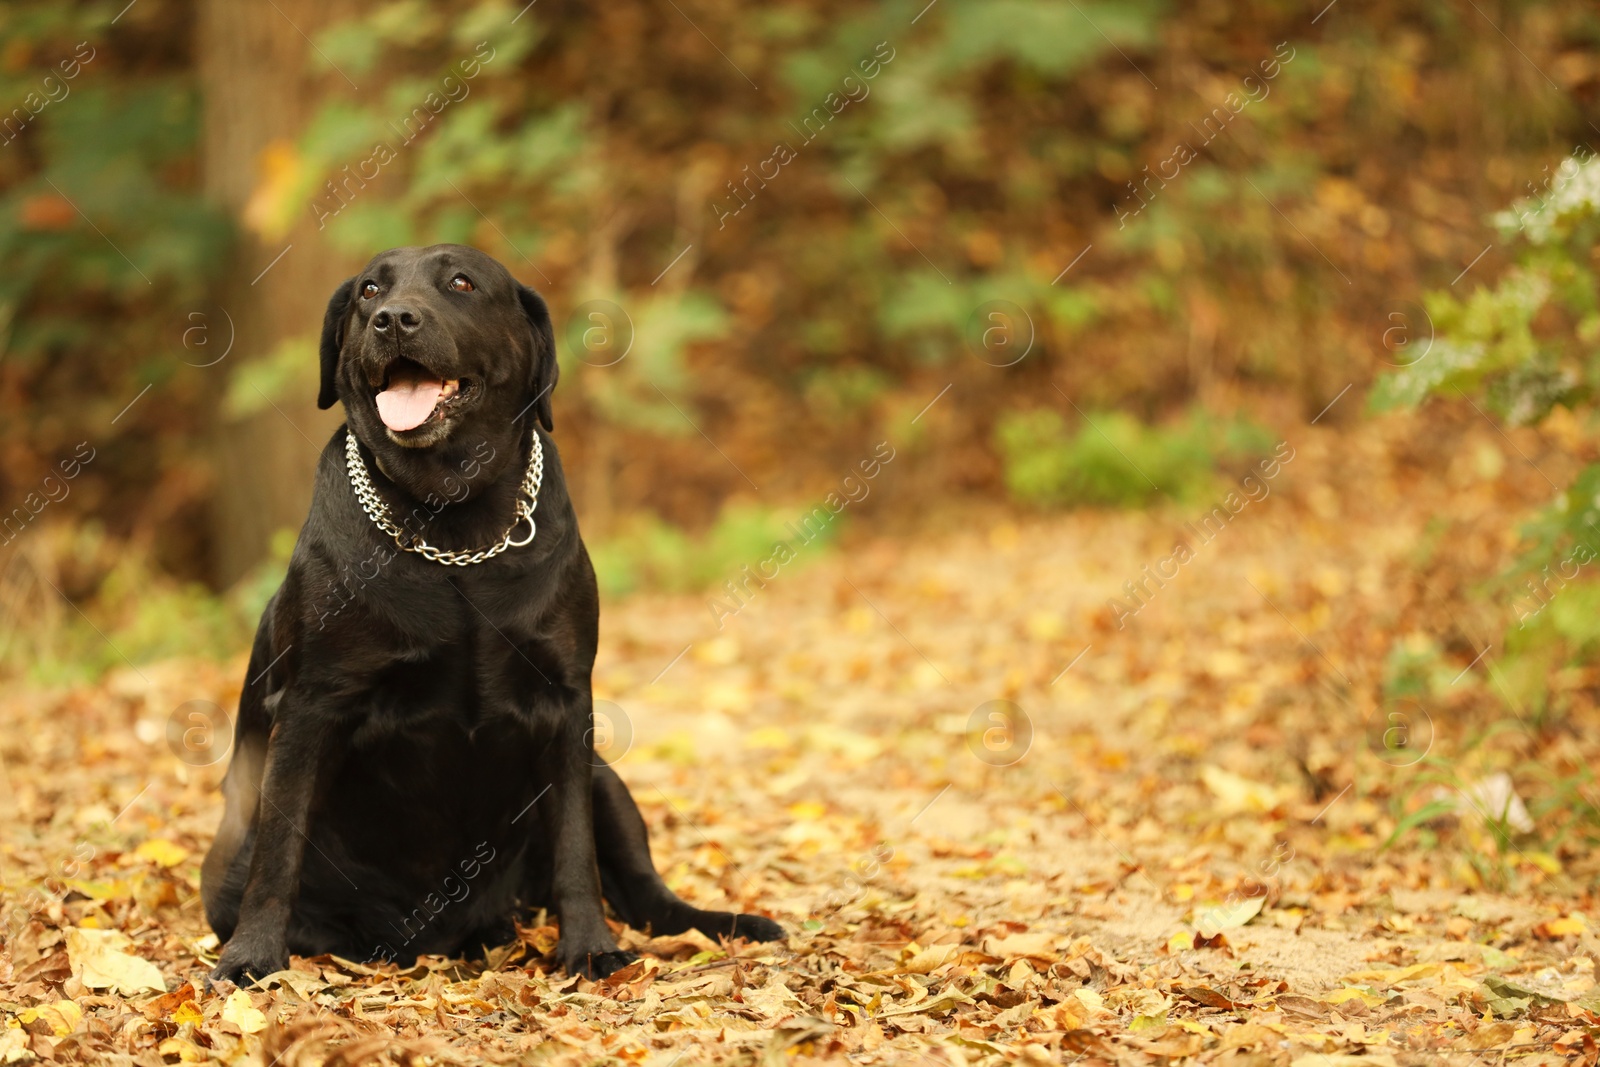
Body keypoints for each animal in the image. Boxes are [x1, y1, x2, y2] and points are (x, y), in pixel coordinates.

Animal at [200, 244, 780, 985]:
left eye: (461, 283)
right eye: (368, 292)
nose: (393, 319)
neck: (453, 525)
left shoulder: (566, 705)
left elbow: (574, 848)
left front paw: (588, 947)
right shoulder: (310, 705)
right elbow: (280, 849)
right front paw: (250, 959)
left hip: (606, 779)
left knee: (654, 899)